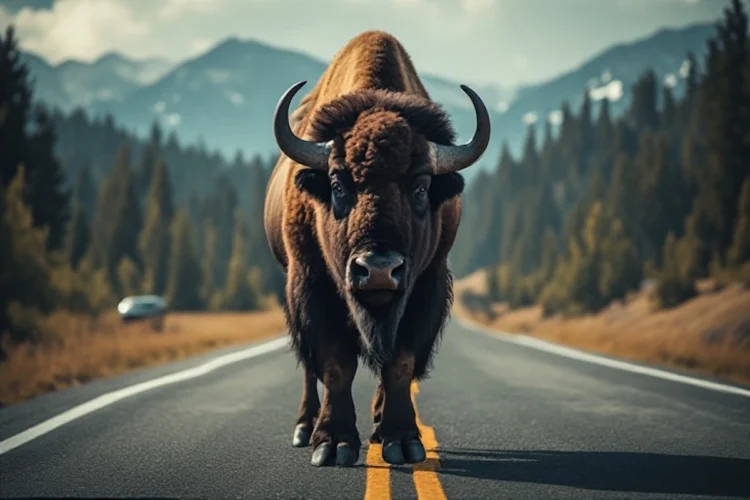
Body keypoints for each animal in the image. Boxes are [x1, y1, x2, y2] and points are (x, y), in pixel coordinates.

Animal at [263, 30, 490, 467]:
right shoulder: (311, 283)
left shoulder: (425, 286)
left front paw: (402, 441)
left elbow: (400, 363)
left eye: (421, 185)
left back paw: (380, 424)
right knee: (308, 367)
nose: (380, 270)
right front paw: (332, 445)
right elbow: (334, 364)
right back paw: (304, 427)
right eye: (338, 183)